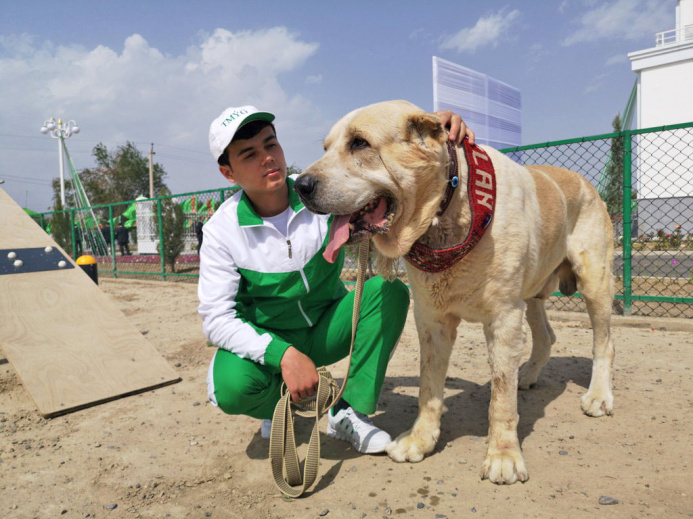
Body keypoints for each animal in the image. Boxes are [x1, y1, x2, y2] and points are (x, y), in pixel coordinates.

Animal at [294, 100, 612, 484]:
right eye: (326, 147)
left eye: (359, 143)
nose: (300, 185)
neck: (448, 213)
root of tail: (583, 181)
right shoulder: (431, 319)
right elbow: (428, 386)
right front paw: (420, 439)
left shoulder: (504, 318)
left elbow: (501, 396)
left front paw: (503, 455)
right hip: (532, 294)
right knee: (547, 337)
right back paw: (528, 375)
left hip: (593, 281)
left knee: (603, 343)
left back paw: (598, 396)